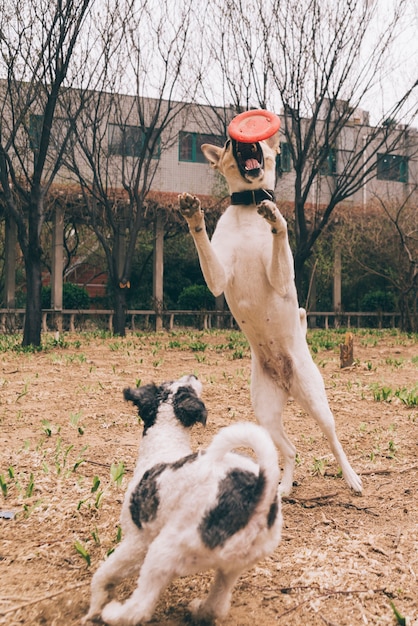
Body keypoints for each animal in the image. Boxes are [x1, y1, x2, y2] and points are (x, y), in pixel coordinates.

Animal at [83, 372, 282, 620]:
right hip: (233, 567)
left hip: (164, 550)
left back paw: (113, 613)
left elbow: (104, 574)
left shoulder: (137, 541)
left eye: (180, 387)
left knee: (140, 607)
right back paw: (199, 610)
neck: (165, 443)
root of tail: (259, 493)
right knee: (217, 604)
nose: (193, 374)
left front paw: (95, 606)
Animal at [178, 134, 360, 494]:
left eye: (260, 142)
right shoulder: (217, 277)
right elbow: (205, 249)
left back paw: (351, 478)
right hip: (265, 412)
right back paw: (283, 487)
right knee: (289, 449)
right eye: (227, 143)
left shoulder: (280, 277)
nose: (237, 139)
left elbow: (280, 236)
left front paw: (275, 217)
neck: (249, 208)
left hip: (316, 402)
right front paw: (193, 214)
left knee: (333, 441)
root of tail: (286, 381)